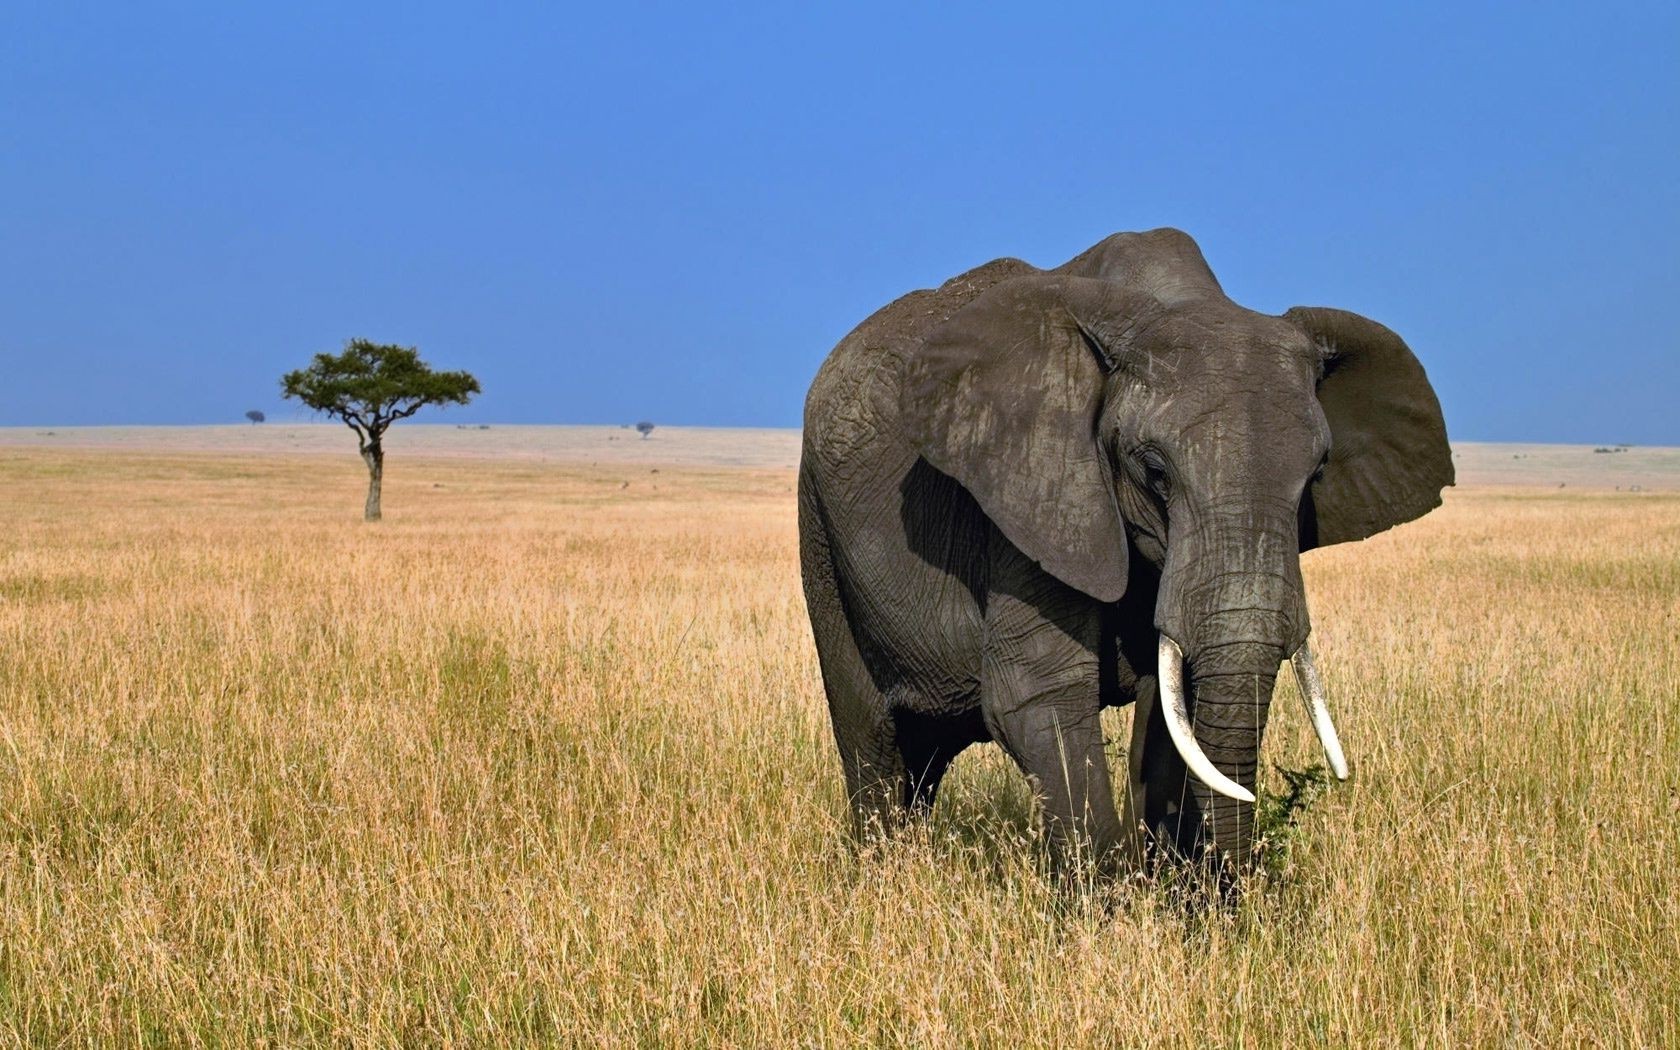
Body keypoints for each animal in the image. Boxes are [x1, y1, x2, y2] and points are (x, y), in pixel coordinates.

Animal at [792, 225, 1451, 873]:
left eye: (1315, 475)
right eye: (1155, 472)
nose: (1234, 883)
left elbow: (1171, 709)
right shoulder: (1036, 489)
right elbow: (1038, 692)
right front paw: (1108, 898)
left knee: (926, 756)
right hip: (819, 530)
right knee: (873, 736)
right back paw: (883, 872)